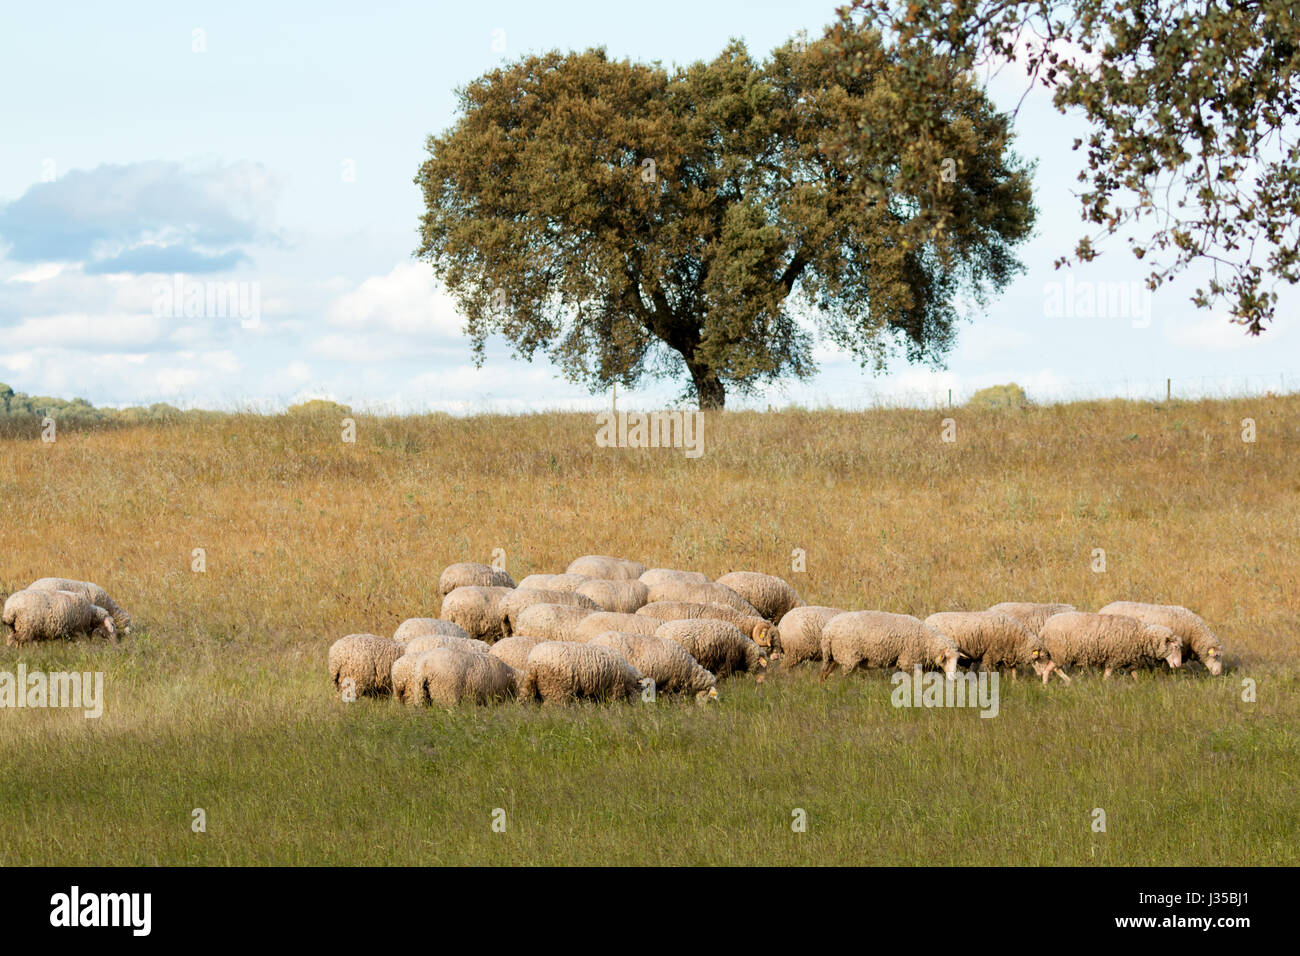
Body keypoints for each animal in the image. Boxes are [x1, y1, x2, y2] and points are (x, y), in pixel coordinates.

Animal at [819, 612, 960, 681]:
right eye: (946, 659)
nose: (953, 678)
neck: (926, 639)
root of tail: (828, 630)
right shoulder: (908, 660)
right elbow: (918, 677)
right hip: (848, 655)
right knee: (844, 675)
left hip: (833, 655)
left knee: (824, 673)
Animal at [924, 611, 1066, 684]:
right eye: (1040, 658)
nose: (1042, 674)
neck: (1016, 637)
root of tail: (926, 620)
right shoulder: (991, 653)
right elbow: (990, 670)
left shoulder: (1008, 653)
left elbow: (1012, 670)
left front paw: (1013, 682)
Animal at [1039, 612, 1183, 679]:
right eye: (1175, 647)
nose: (1178, 665)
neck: (1141, 635)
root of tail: (1045, 628)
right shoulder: (1115, 657)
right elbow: (1107, 674)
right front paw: (1104, 685)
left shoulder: (1127, 659)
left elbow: (1134, 674)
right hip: (1060, 651)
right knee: (1049, 669)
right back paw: (1047, 684)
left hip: (1060, 653)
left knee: (1055, 668)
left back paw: (1068, 681)